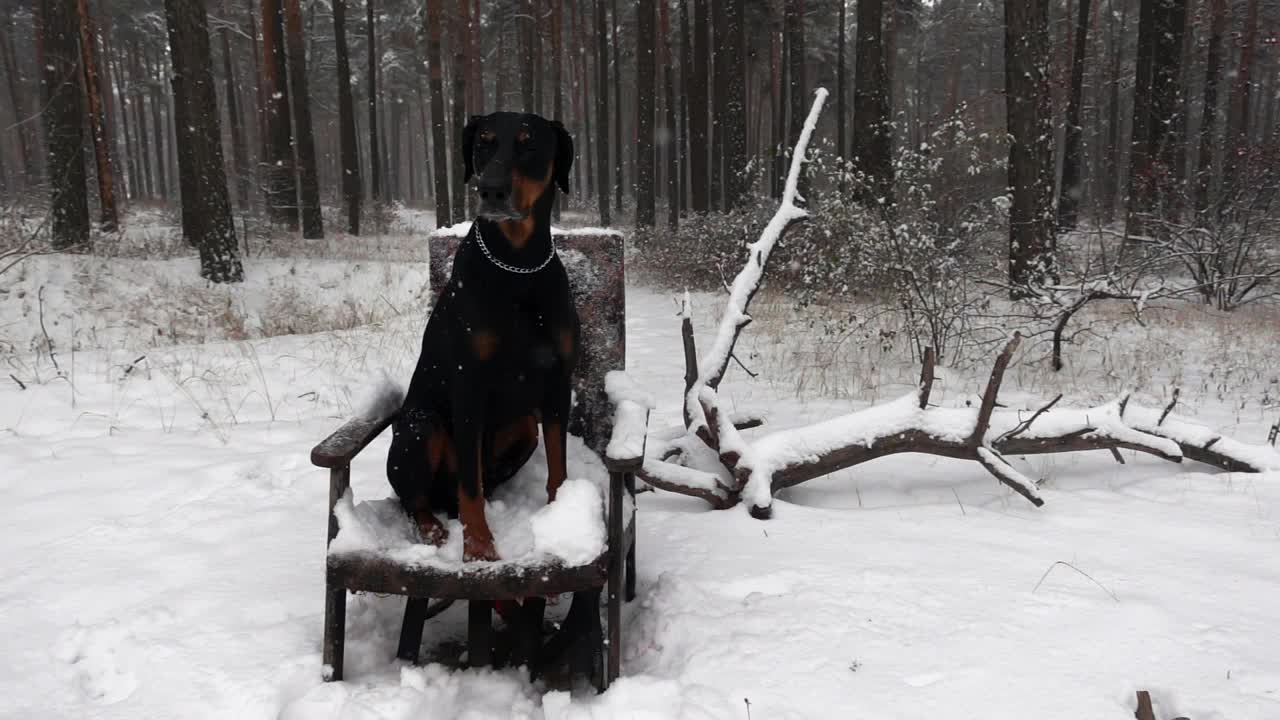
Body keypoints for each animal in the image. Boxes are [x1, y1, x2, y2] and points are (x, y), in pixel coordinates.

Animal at [381, 112, 578, 563]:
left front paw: (562, 515)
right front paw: (479, 548)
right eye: (484, 142)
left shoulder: (558, 378)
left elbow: (558, 463)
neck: (517, 264)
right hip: (421, 425)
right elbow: (469, 485)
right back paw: (435, 529)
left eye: (528, 142)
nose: (491, 189)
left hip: (523, 425)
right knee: (418, 498)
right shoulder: (468, 381)